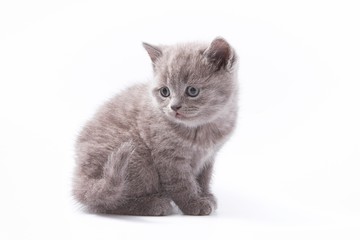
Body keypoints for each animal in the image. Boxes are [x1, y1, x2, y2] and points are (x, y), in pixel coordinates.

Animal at [71, 37, 238, 216]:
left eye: (192, 90)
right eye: (165, 92)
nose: (174, 107)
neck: (202, 129)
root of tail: (81, 179)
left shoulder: (209, 157)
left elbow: (204, 178)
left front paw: (206, 195)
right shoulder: (168, 157)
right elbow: (181, 184)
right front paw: (194, 204)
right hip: (138, 155)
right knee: (107, 203)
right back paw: (155, 204)